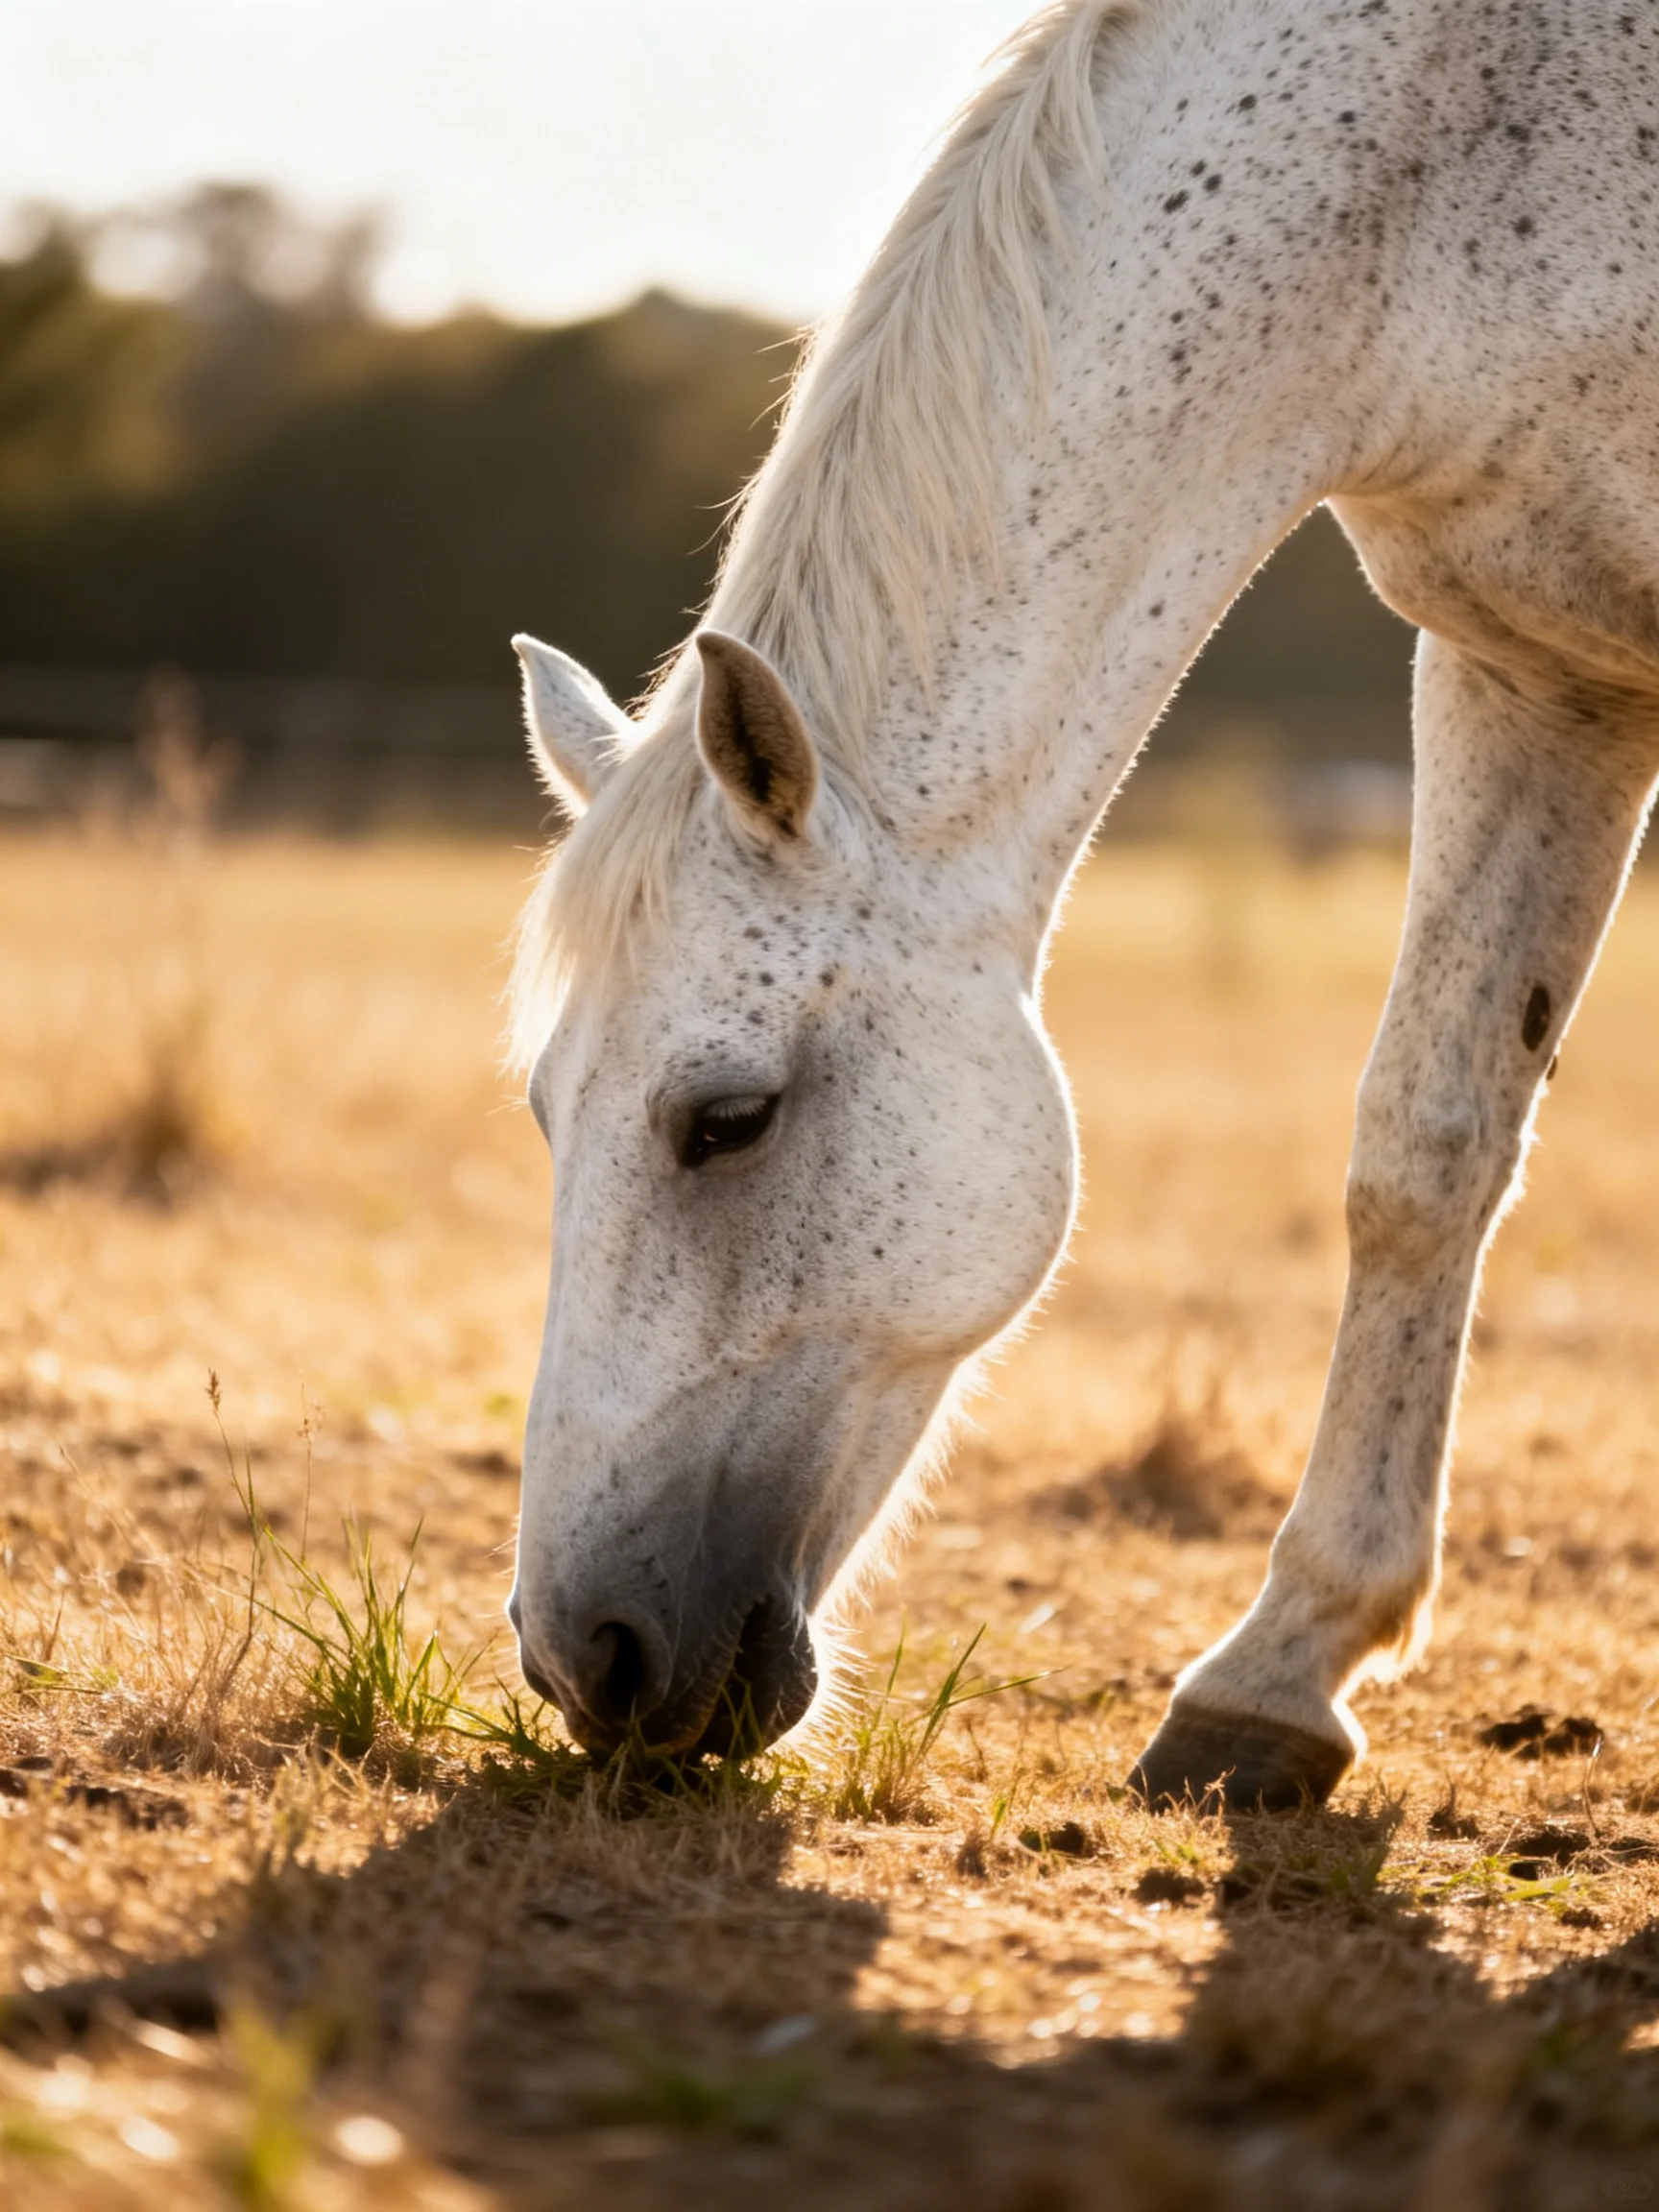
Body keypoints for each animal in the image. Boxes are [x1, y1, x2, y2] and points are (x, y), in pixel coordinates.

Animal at [504, 0, 1659, 1808]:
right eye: (548, 1111)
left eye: (728, 1117)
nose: (583, 1660)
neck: (1455, 143)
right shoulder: (1539, 669)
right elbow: (1426, 1151)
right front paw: (1276, 1676)